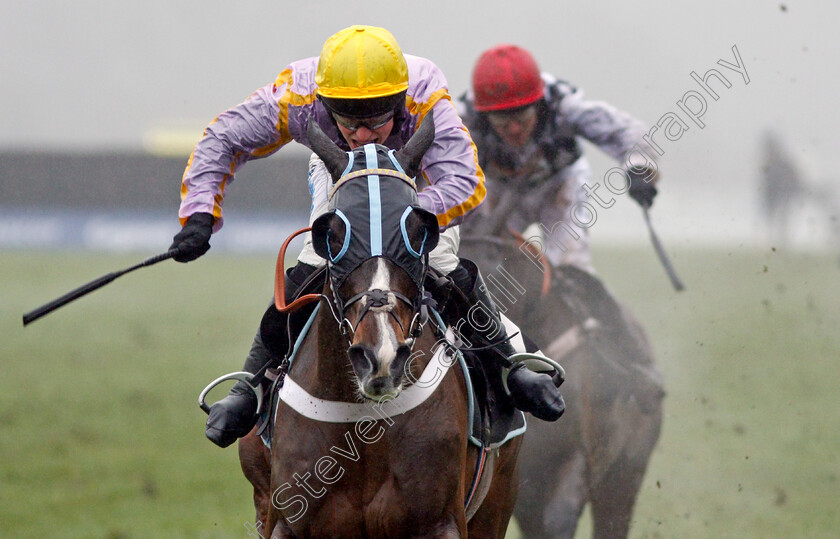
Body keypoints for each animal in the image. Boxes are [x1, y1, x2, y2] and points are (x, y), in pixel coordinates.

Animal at [233, 116, 520, 536]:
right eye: (331, 235)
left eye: (420, 232)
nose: (380, 356)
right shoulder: (286, 520)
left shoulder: (440, 520)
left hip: (497, 499)